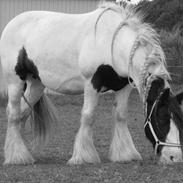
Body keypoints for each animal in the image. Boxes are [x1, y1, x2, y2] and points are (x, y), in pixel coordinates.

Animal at [0, 1, 183, 164]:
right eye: (162, 118)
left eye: (179, 118)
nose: (174, 157)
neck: (112, 44)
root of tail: (12, 24)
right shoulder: (92, 83)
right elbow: (88, 115)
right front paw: (83, 157)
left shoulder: (124, 87)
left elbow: (121, 116)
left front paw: (124, 154)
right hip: (15, 82)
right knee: (13, 113)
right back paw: (17, 157)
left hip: (36, 84)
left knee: (22, 113)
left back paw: (20, 153)